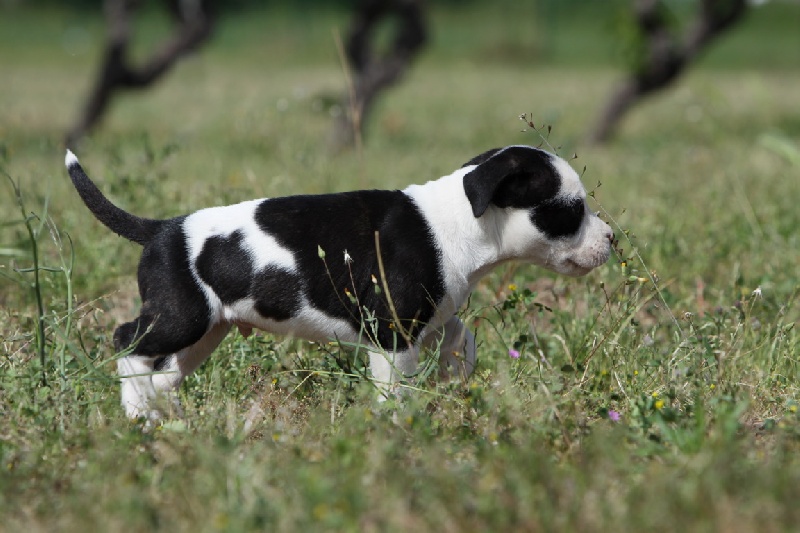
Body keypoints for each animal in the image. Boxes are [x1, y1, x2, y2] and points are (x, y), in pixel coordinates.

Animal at [65, 147, 616, 420]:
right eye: (571, 210)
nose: (612, 238)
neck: (459, 221)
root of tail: (161, 229)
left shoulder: (429, 316)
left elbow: (462, 336)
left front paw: (455, 375)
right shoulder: (392, 333)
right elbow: (394, 390)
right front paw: (400, 426)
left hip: (207, 331)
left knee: (163, 371)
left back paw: (164, 415)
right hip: (182, 317)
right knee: (128, 344)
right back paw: (136, 414)